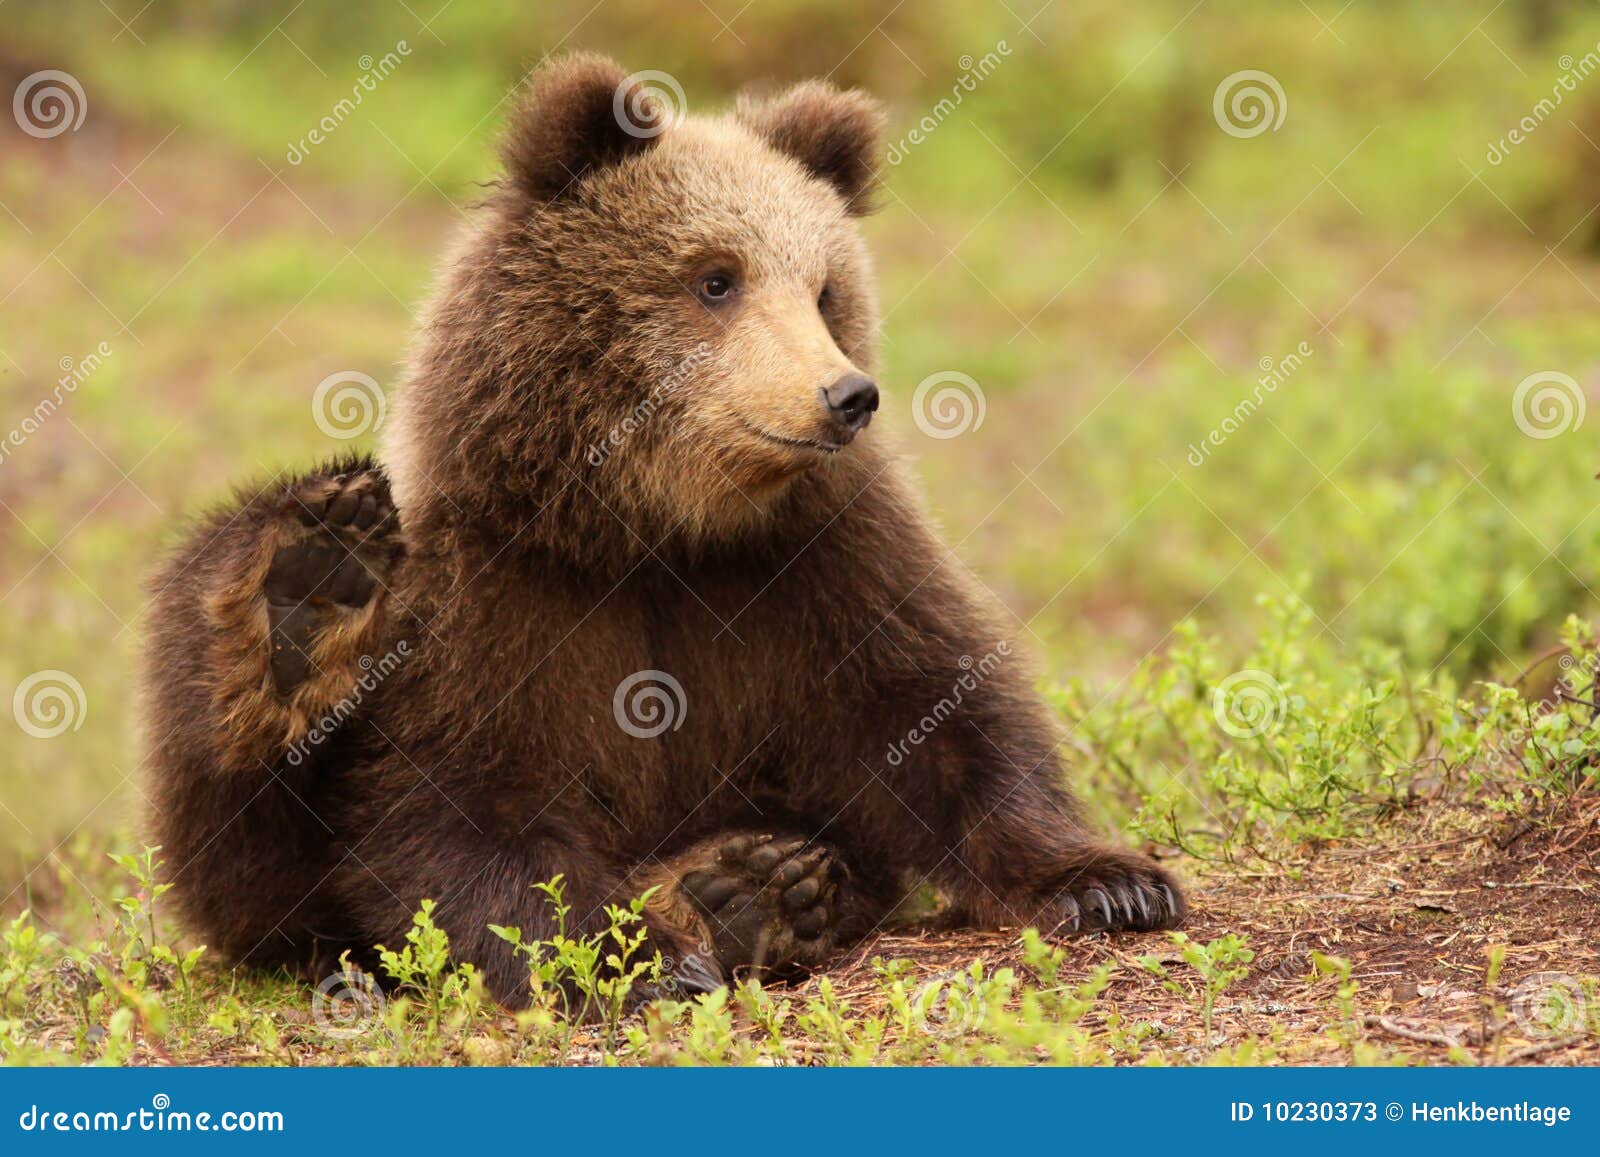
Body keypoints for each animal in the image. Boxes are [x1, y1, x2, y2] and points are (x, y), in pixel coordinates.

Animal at [142, 53, 1185, 1007]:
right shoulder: (486, 593)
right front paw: (634, 954)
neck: (654, 530)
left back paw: (752, 887)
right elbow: (461, 809)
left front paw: (1110, 881)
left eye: (824, 289)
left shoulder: (822, 559)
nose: (844, 394)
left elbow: (942, 717)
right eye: (717, 278)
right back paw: (305, 590)